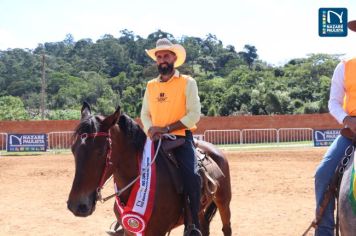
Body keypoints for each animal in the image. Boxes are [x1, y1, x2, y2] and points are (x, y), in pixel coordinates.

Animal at [67, 103, 232, 236]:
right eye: (73, 150)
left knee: (226, 228)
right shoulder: (130, 230)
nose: (77, 205)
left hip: (223, 201)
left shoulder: (157, 231)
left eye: (101, 151)